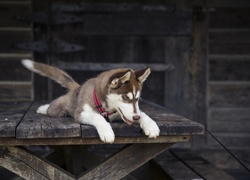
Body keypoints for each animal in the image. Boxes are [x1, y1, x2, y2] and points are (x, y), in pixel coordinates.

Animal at [21, 59, 158, 143]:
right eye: (125, 97)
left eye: (137, 98)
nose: (136, 118)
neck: (106, 107)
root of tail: (77, 88)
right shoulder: (81, 113)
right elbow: (98, 117)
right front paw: (107, 132)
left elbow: (143, 113)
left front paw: (151, 125)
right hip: (59, 109)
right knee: (53, 107)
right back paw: (43, 108)